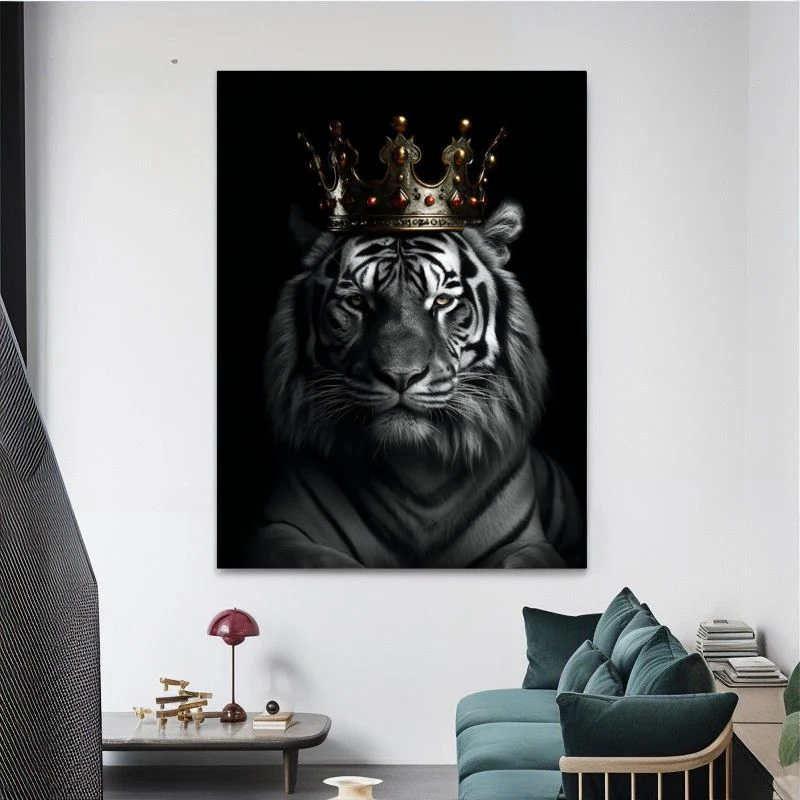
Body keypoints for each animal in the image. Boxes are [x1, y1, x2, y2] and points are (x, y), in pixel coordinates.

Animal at [248, 200, 584, 568]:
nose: (400, 376)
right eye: (357, 302)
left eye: (442, 301)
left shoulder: (528, 544)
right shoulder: (281, 531)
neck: (416, 467)